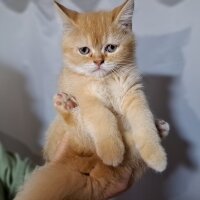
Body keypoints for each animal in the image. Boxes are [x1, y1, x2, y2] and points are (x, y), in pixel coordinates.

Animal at [14, 0, 170, 199]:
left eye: (111, 48)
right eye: (84, 50)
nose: (98, 61)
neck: (106, 80)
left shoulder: (134, 95)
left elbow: (144, 123)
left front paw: (156, 156)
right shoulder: (86, 98)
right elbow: (103, 115)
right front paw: (112, 151)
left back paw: (160, 129)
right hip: (63, 133)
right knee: (83, 142)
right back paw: (66, 106)